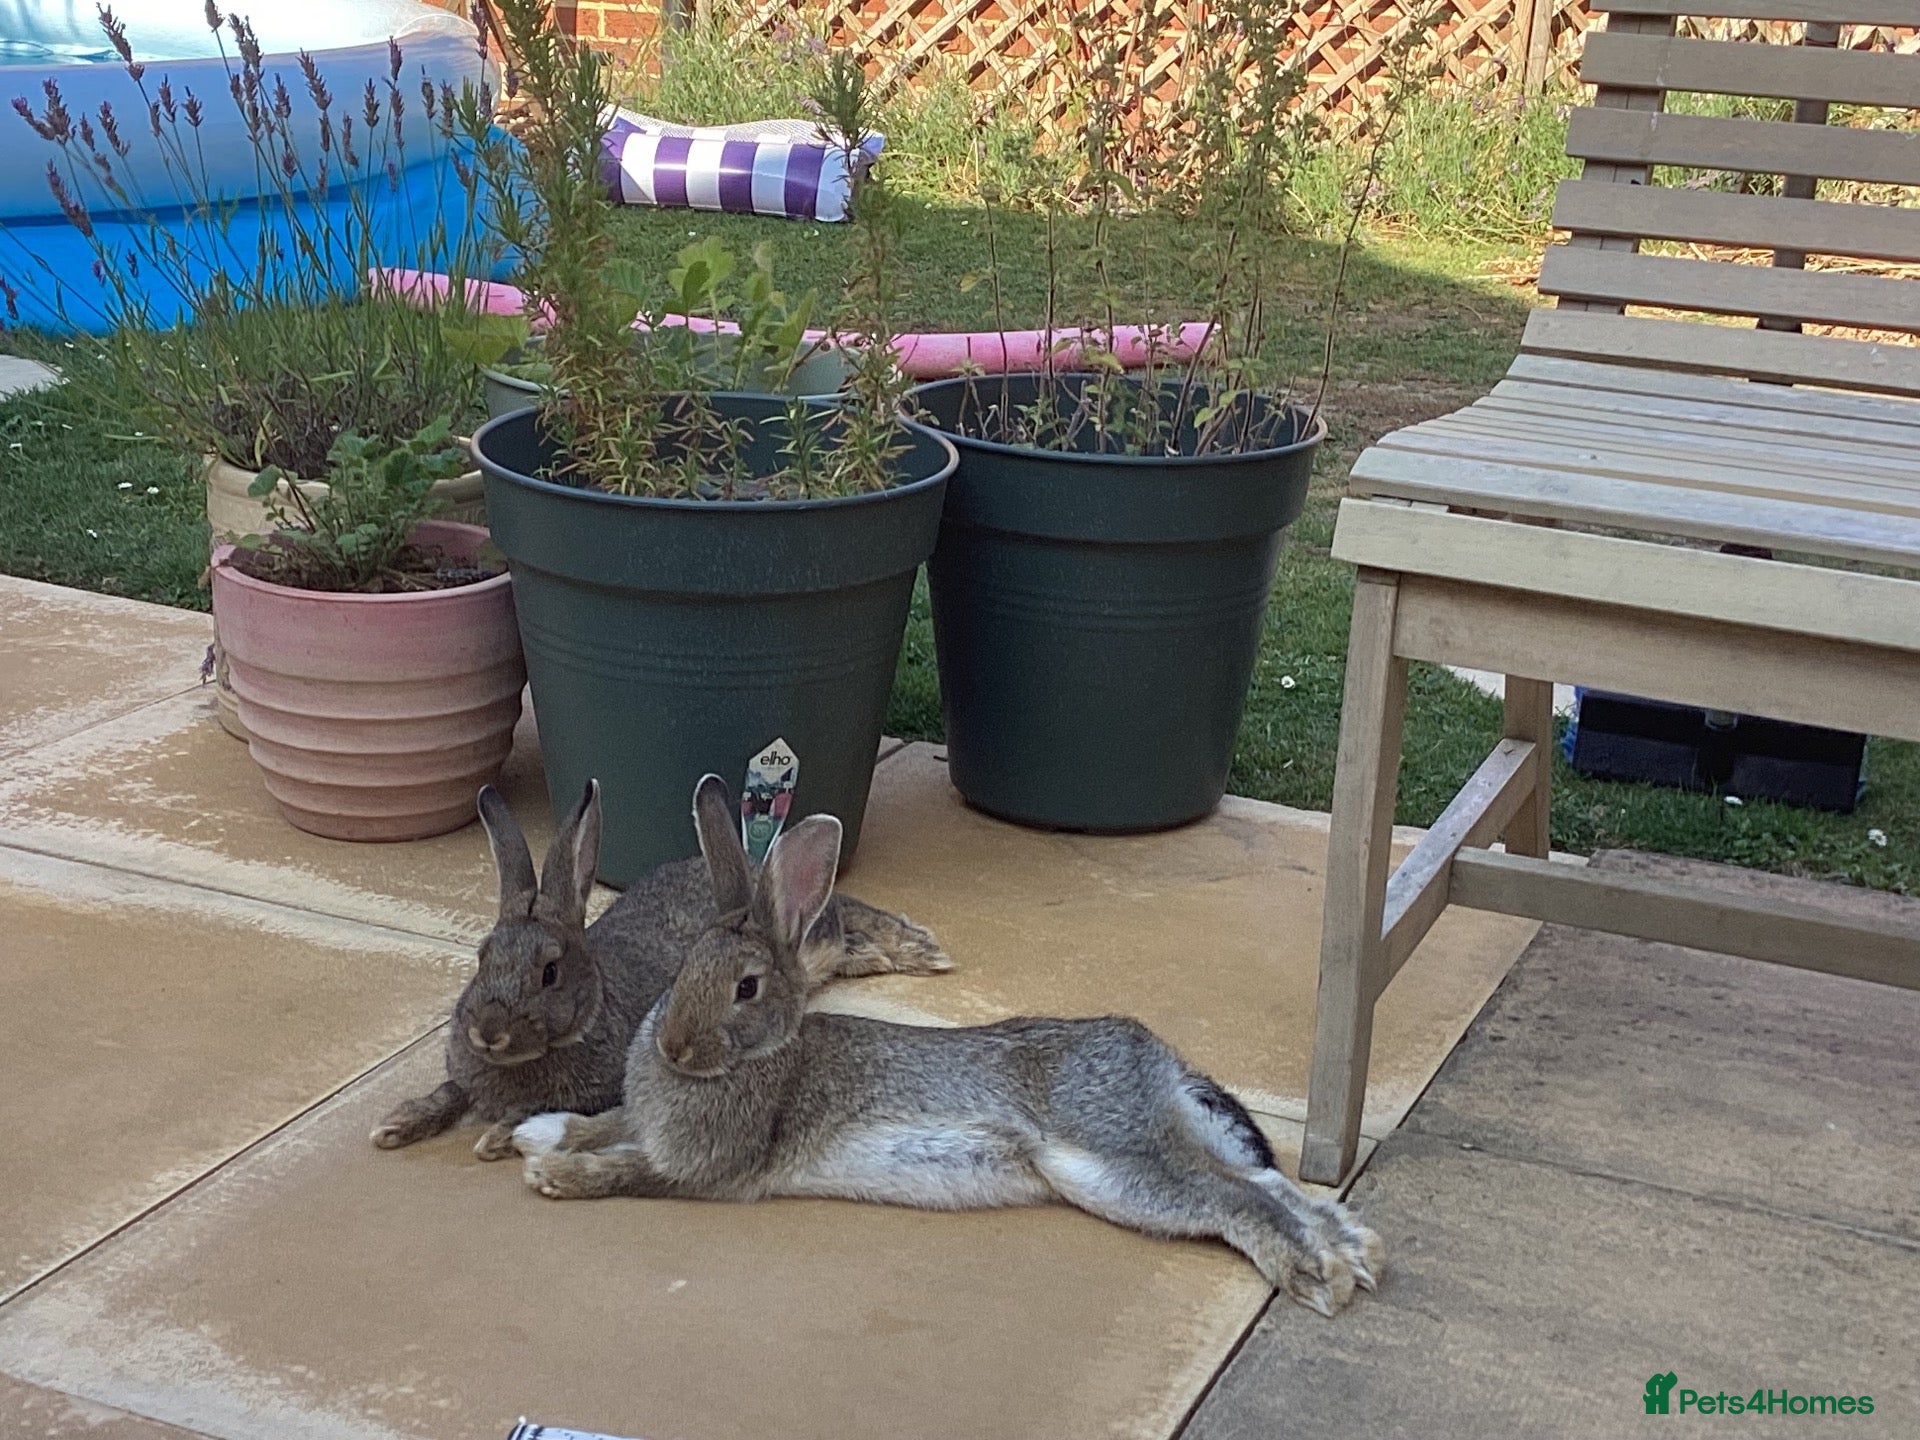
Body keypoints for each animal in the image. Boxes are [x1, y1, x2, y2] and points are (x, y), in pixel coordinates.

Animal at [371, 776, 951, 1160]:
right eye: (481, 957)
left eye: (549, 973)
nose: (486, 1034)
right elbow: (449, 1093)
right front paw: (396, 1124)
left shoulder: (602, 1090)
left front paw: (493, 1138)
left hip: (817, 930)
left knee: (848, 914)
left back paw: (915, 950)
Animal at [511, 775, 1383, 1318]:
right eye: (685, 964)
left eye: (747, 988)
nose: (678, 1050)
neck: (759, 1057)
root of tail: (1158, 1060)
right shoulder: (647, 1118)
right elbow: (605, 1122)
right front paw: (537, 1132)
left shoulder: (706, 1166)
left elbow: (627, 1168)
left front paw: (553, 1174)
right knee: (1267, 1185)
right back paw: (1353, 1251)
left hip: (1105, 1160)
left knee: (1235, 1201)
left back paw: (1317, 1275)